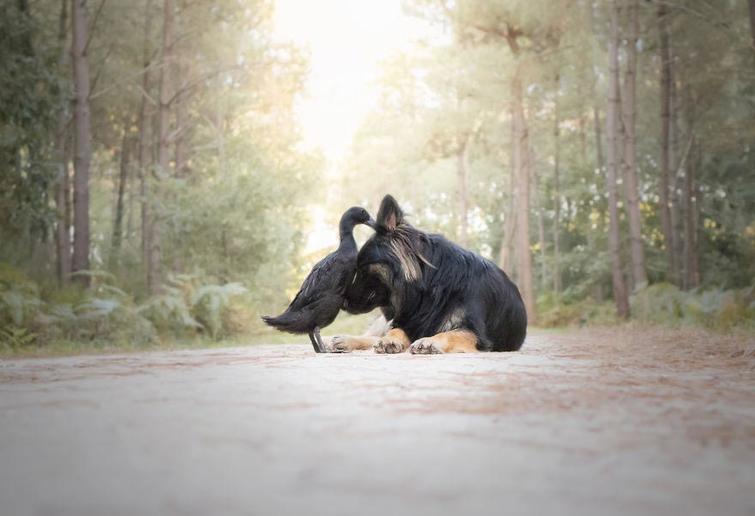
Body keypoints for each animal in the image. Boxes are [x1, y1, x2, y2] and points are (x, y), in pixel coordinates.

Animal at [324, 195, 524, 354]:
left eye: (363, 268)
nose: (343, 303)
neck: (432, 291)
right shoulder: (407, 320)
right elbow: (395, 330)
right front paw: (391, 339)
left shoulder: (475, 333)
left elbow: (451, 333)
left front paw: (429, 341)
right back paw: (342, 340)